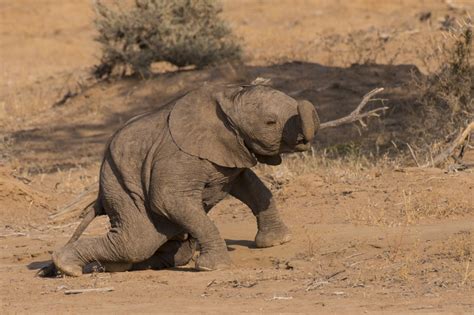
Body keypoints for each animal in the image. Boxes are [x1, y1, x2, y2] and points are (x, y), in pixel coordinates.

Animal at [51, 83, 318, 276]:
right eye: (270, 122)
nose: (309, 107)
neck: (228, 100)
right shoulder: (178, 155)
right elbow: (167, 199)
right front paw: (214, 268)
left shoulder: (230, 152)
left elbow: (253, 187)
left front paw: (276, 242)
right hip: (120, 189)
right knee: (136, 242)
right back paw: (68, 267)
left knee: (162, 248)